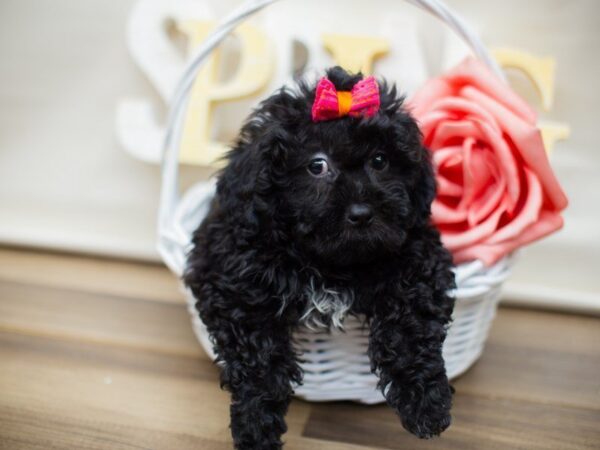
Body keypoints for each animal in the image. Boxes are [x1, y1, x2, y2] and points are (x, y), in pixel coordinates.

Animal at [183, 67, 454, 450]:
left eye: (380, 161)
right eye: (317, 165)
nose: (361, 213)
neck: (329, 262)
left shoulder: (418, 257)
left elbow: (411, 323)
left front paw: (427, 406)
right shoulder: (231, 274)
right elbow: (258, 358)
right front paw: (256, 428)